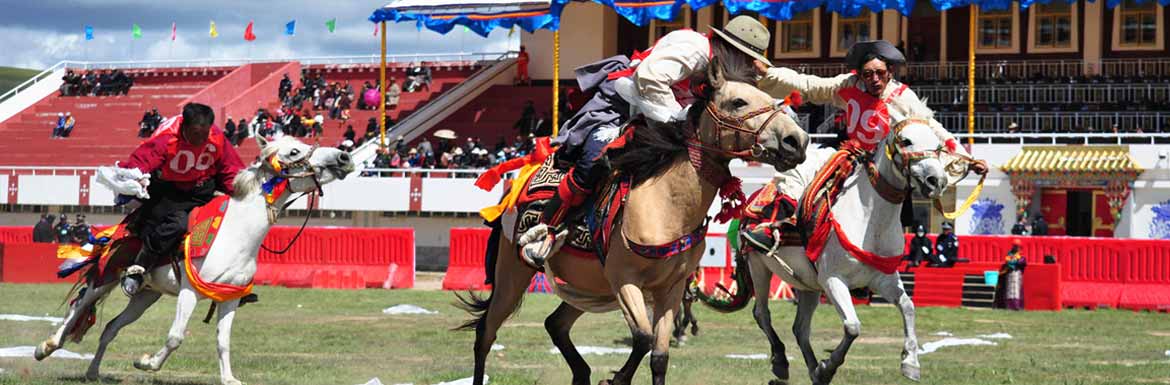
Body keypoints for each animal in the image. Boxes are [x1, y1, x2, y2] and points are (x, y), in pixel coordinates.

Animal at [37, 135, 355, 383]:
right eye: (294, 152)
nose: (343, 156)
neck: (235, 234)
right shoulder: (189, 292)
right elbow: (175, 336)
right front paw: (146, 362)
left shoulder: (229, 298)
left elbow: (223, 341)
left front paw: (229, 378)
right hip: (107, 277)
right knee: (79, 307)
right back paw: (46, 346)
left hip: (145, 296)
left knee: (110, 327)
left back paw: (92, 372)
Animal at [460, 57, 809, 383]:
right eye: (738, 102)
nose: (797, 140)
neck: (665, 205)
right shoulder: (625, 280)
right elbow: (642, 338)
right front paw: (615, 378)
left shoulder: (671, 288)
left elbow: (659, 355)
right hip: (513, 272)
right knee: (486, 334)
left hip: (587, 286)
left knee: (554, 324)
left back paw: (582, 373)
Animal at [739, 117, 959, 383]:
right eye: (906, 141)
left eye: (938, 145)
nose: (936, 181)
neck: (870, 221)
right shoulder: (833, 280)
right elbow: (853, 326)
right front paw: (829, 366)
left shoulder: (883, 279)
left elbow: (908, 307)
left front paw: (910, 362)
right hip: (758, 267)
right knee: (762, 313)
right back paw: (781, 361)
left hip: (808, 285)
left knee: (800, 328)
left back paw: (814, 370)